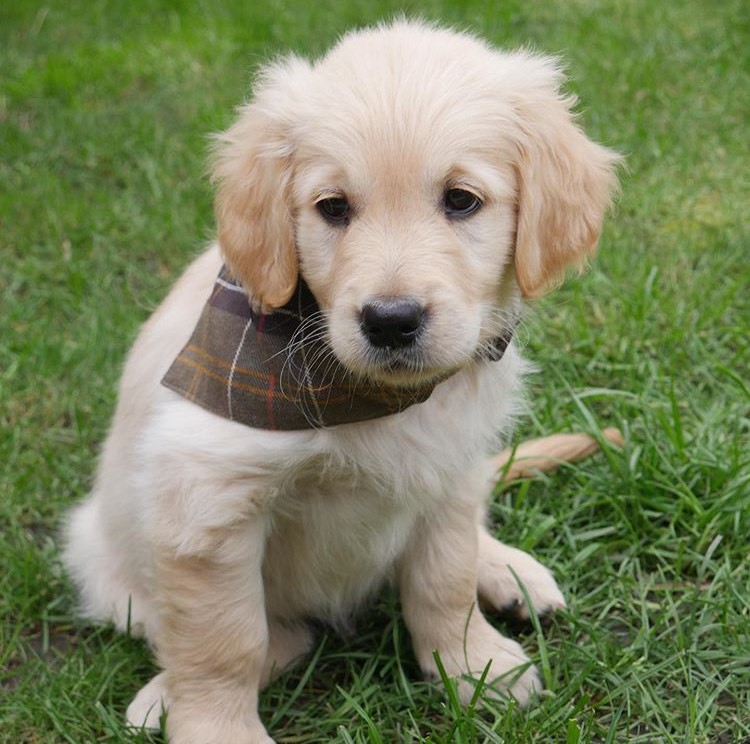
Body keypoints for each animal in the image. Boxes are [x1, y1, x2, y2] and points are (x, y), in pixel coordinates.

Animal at [61, 20, 624, 740]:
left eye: (461, 200)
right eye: (332, 207)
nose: (390, 320)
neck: (379, 398)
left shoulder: (449, 465)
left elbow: (444, 580)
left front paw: (473, 668)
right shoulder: (205, 498)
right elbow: (224, 641)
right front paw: (215, 724)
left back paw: (508, 571)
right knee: (265, 635)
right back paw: (169, 690)